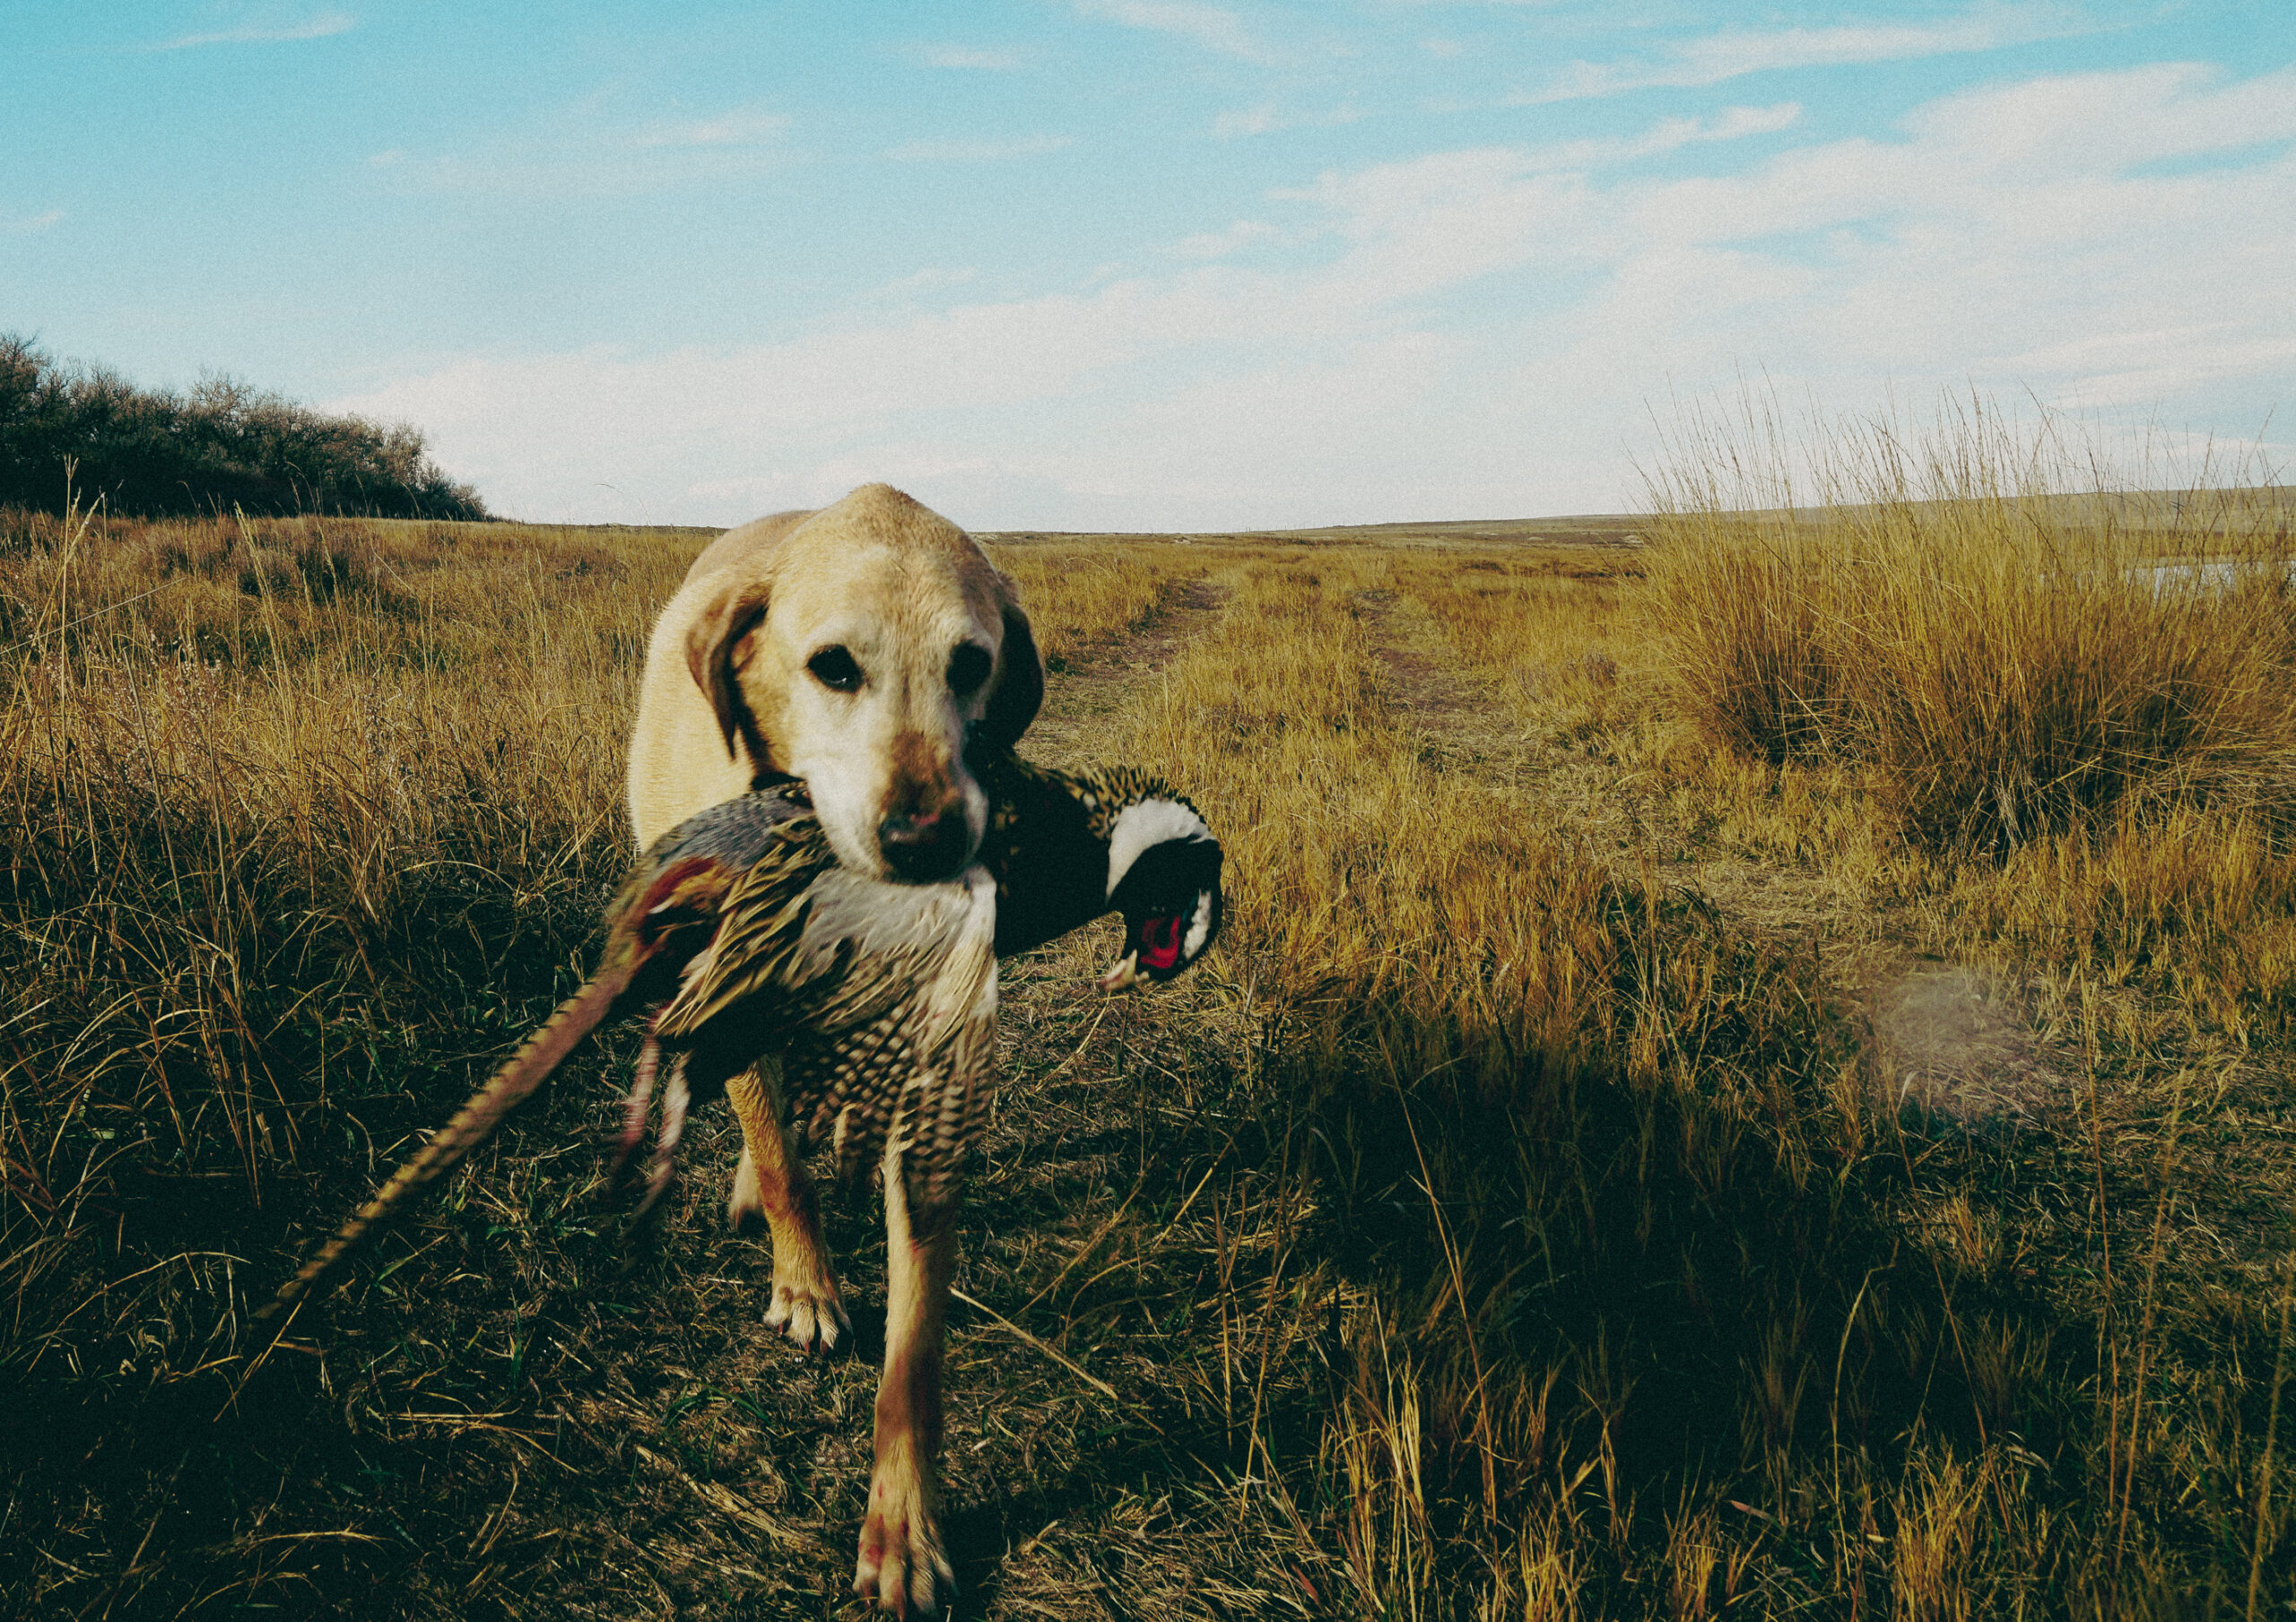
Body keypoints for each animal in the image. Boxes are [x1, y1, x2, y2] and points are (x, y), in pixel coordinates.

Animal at [620, 481, 1033, 1615]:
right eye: (833, 667)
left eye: (970, 665)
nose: (929, 840)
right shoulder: (729, 996)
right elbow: (775, 1155)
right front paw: (804, 1281)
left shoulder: (936, 1064)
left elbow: (916, 1349)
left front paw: (904, 1524)